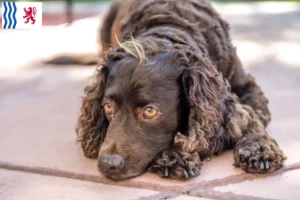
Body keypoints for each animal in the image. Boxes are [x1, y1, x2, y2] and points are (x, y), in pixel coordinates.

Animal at [46, 0, 286, 180]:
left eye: (150, 111)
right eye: (108, 106)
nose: (107, 164)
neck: (169, 27)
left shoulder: (248, 89)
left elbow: (251, 118)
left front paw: (259, 149)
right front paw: (175, 156)